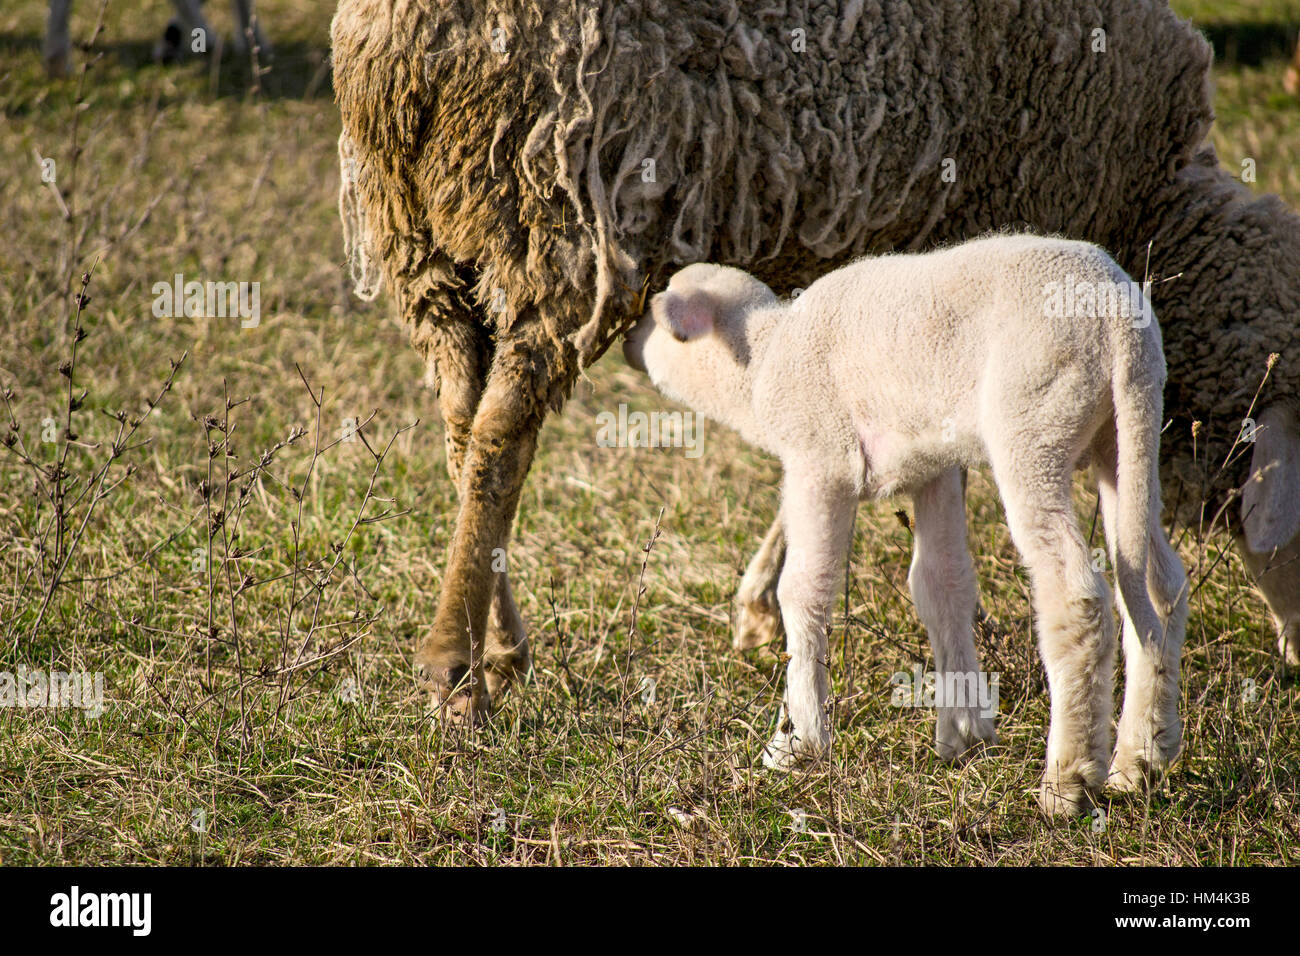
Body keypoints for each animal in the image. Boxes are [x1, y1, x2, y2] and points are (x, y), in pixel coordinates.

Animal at [330, 0, 1300, 726]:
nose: (1295, 662)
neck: (1145, 206)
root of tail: (411, 38)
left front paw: (761, 599)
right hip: (556, 215)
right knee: (500, 437)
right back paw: (455, 668)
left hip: (426, 235)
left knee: (464, 429)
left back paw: (499, 644)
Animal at [621, 237, 1188, 813]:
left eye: (658, 308)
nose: (627, 342)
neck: (759, 362)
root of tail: (1119, 323)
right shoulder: (933, 468)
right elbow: (941, 586)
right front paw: (963, 734)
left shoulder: (820, 459)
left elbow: (804, 591)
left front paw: (797, 743)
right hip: (1125, 434)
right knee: (1157, 582)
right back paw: (1141, 759)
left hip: (1034, 420)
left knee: (1076, 596)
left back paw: (1067, 782)